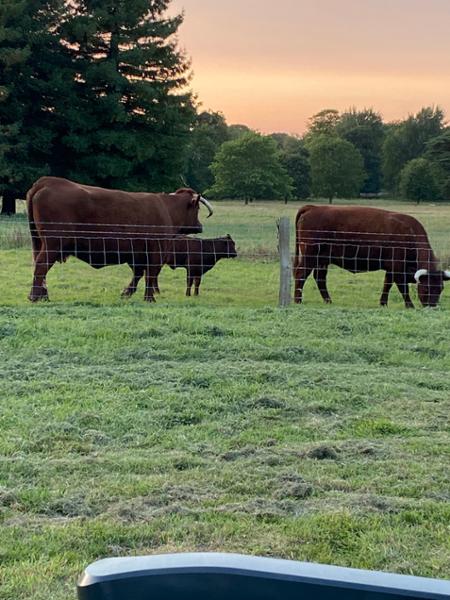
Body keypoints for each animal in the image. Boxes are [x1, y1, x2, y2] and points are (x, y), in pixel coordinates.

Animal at [26, 176, 213, 302]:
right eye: (197, 209)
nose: (200, 226)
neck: (166, 209)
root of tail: (48, 181)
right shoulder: (156, 250)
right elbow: (151, 274)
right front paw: (149, 298)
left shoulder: (137, 253)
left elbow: (138, 274)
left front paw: (127, 292)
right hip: (53, 244)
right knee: (42, 265)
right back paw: (35, 296)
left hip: (41, 243)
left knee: (39, 266)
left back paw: (42, 294)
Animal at [294, 206, 448, 310]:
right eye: (426, 288)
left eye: (440, 289)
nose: (432, 307)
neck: (409, 234)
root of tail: (314, 207)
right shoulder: (397, 268)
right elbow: (402, 287)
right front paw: (409, 305)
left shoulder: (391, 268)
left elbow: (387, 284)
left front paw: (383, 303)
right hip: (310, 256)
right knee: (301, 274)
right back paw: (298, 300)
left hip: (322, 260)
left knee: (320, 278)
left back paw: (328, 301)